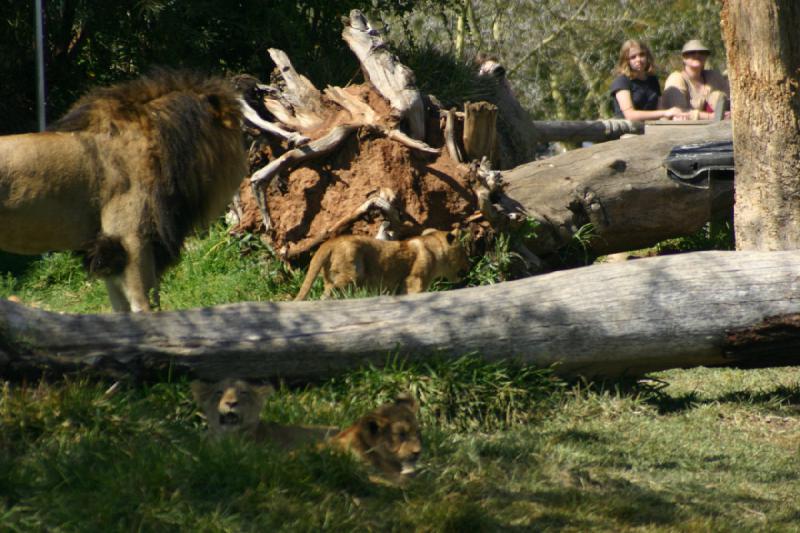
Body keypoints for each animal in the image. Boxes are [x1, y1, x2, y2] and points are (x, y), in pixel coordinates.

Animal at [294, 228, 468, 302]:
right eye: (464, 253)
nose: (469, 265)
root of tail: (329, 242)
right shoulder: (414, 281)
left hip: (333, 278)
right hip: (351, 275)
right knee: (328, 295)